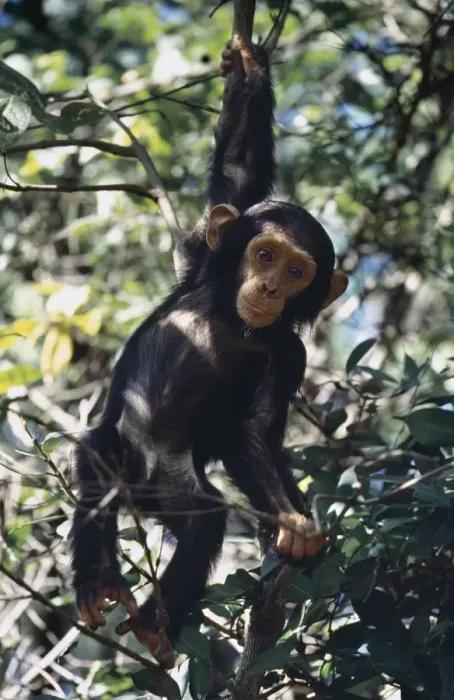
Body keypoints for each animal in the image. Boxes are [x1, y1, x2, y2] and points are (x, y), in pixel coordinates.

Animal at [71, 38, 348, 668]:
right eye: (265, 255)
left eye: (297, 272)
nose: (268, 288)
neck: (230, 317)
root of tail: (142, 491)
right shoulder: (203, 255)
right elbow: (237, 181)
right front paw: (247, 70)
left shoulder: (289, 355)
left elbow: (253, 429)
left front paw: (292, 525)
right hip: (118, 453)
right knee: (96, 466)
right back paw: (97, 582)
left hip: (177, 487)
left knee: (203, 524)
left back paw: (157, 625)